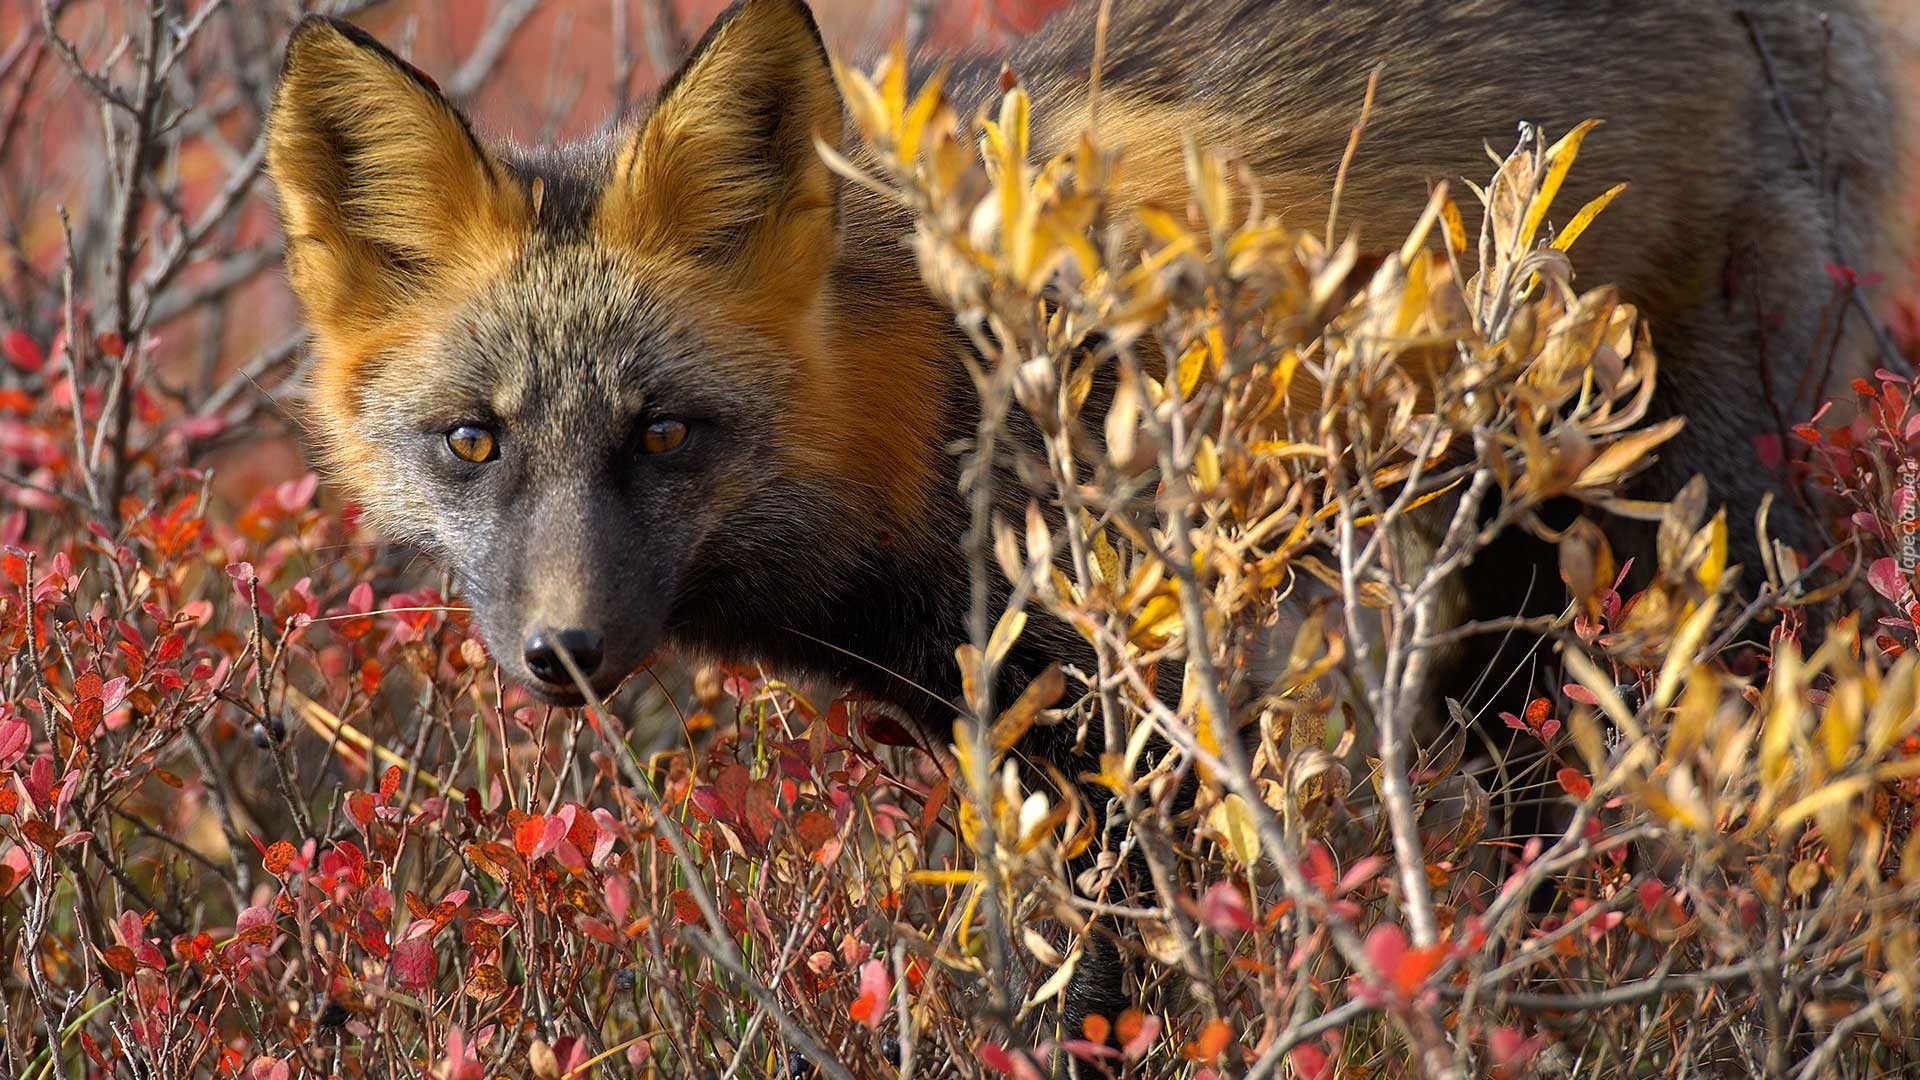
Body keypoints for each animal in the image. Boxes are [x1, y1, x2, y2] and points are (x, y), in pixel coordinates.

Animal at [263, 0, 1896, 1030]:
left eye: (664, 434)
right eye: (472, 441)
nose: (566, 654)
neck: (926, 398)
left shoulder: (1137, 726)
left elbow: (1089, 998)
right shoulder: (1019, 739)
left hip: (1711, 553)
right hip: (1501, 641)